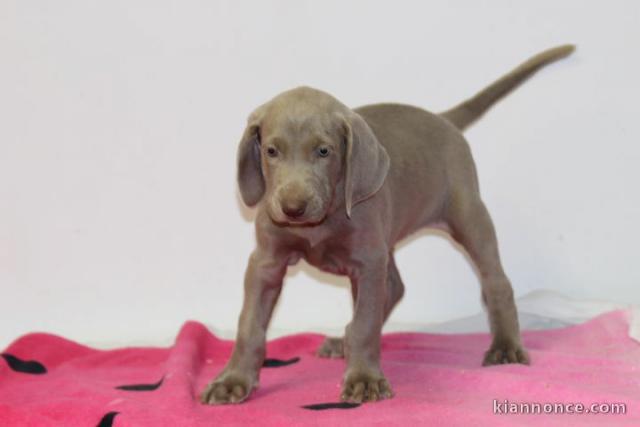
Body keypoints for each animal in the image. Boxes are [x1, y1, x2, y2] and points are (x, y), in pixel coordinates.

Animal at [201, 45, 576, 406]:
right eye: (271, 151)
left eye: (324, 151)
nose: (292, 209)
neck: (322, 220)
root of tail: (443, 119)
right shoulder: (267, 263)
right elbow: (249, 325)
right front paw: (232, 381)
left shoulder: (367, 262)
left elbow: (366, 323)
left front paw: (364, 379)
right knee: (395, 286)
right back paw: (341, 341)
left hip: (469, 215)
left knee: (495, 282)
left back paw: (505, 347)